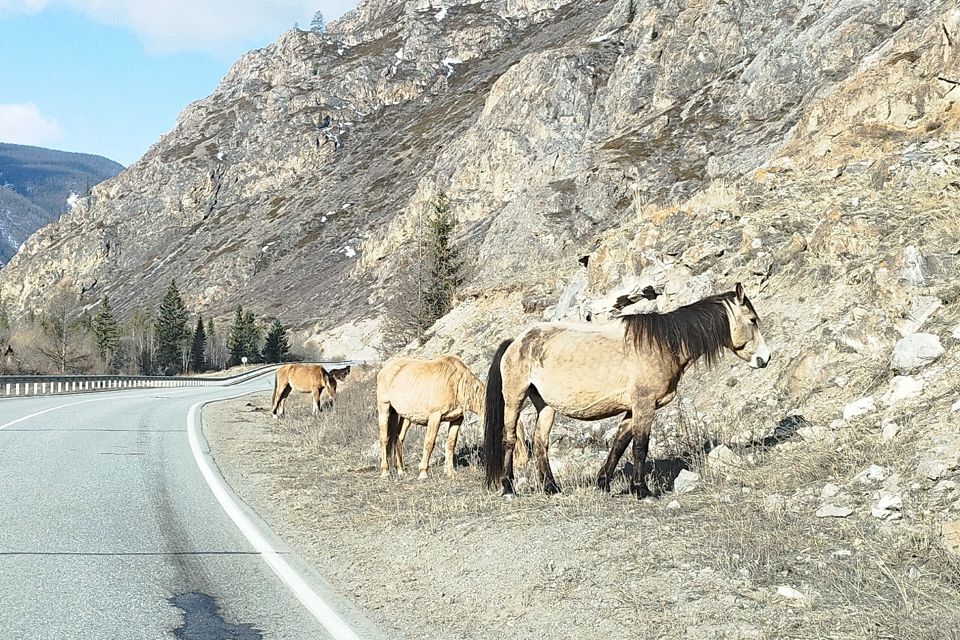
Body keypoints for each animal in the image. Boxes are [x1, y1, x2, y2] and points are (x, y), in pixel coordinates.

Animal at [376, 356, 528, 480]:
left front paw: (449, 471)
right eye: (513, 440)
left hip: (405, 417)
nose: (523, 463)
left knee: (398, 438)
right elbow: (429, 443)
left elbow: (451, 444)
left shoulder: (456, 419)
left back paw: (401, 471)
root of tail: (384, 369)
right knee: (384, 439)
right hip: (384, 409)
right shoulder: (435, 417)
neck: (456, 384)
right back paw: (385, 471)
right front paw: (423, 472)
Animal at [484, 284, 768, 500]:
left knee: (541, 442)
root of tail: (516, 341)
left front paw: (604, 483)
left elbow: (620, 444)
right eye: (752, 320)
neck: (663, 344)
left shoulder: (633, 409)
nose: (765, 358)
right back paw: (508, 487)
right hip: (515, 398)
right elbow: (640, 446)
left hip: (545, 405)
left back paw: (551, 488)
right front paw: (642, 490)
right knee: (510, 438)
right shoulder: (644, 405)